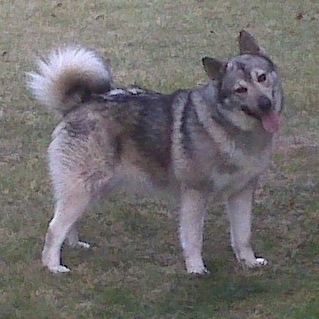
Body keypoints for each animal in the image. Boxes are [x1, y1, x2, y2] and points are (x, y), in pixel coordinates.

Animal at [26, 30, 284, 276]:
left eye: (262, 77)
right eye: (240, 90)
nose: (265, 104)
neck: (228, 127)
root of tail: (79, 104)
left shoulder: (242, 193)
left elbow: (243, 236)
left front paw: (249, 262)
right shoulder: (195, 195)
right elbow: (193, 238)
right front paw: (196, 270)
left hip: (93, 189)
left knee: (67, 224)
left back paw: (74, 245)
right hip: (82, 189)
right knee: (54, 228)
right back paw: (53, 266)